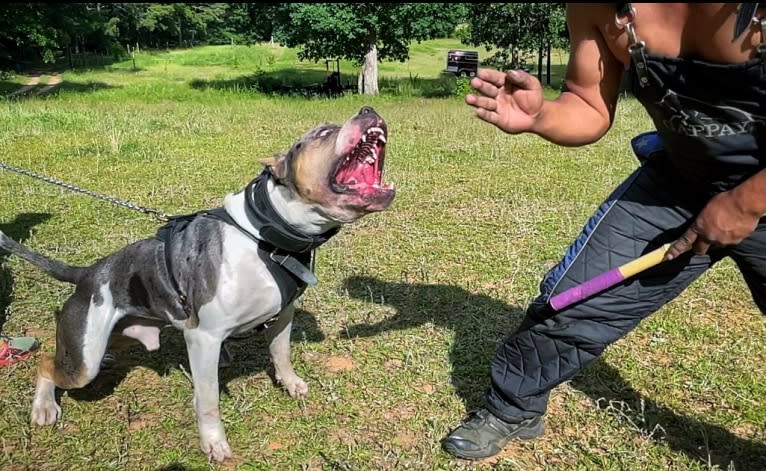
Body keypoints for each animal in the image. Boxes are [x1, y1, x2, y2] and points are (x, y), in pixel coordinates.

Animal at [0, 105, 396, 462]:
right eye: (323, 132)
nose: (368, 108)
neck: (264, 237)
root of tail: (86, 274)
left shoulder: (282, 316)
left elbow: (281, 354)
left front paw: (290, 382)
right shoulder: (203, 338)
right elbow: (208, 400)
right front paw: (214, 443)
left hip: (120, 333)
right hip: (84, 364)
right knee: (46, 364)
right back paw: (43, 408)